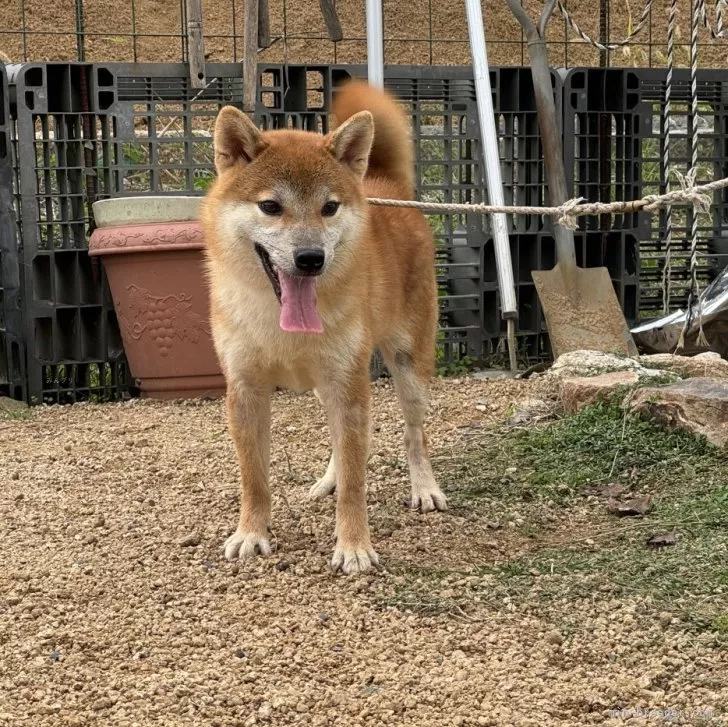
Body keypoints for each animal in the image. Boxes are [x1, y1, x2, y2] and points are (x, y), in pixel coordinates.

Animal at [202, 79, 446, 576]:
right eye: (270, 206)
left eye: (329, 207)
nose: (311, 258)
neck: (281, 324)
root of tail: (385, 185)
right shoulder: (246, 390)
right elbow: (254, 478)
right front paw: (251, 533)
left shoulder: (348, 386)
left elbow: (357, 482)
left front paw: (353, 546)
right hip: (327, 385)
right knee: (342, 443)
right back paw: (328, 480)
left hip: (407, 366)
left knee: (414, 434)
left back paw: (424, 487)